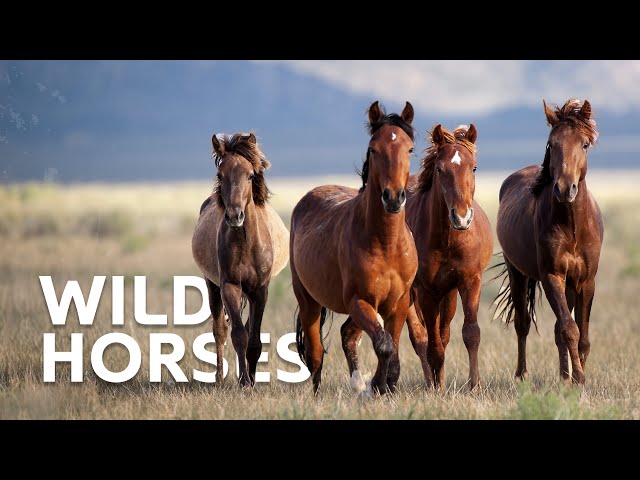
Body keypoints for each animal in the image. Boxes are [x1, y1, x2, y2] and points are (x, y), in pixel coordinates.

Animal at [192, 132, 290, 387]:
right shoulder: (230, 286)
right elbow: (238, 336)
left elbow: (253, 339)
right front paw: (244, 381)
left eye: (250, 175)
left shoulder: (260, 290)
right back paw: (219, 378)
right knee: (220, 330)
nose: (235, 216)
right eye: (220, 174)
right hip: (212, 285)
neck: (246, 243)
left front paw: (251, 379)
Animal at [290, 101, 419, 394]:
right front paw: (377, 386)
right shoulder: (360, 301)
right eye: (374, 149)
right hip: (309, 302)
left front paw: (384, 386)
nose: (393, 198)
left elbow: (392, 348)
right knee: (316, 354)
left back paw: (358, 384)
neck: (386, 244)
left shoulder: (398, 303)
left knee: (347, 335)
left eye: (409, 148)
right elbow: (384, 345)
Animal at [341, 124, 494, 391]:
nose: (461, 217)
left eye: (473, 167)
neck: (447, 240)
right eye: (440, 169)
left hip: (446, 294)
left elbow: (470, 333)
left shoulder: (469, 281)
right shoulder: (426, 291)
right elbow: (432, 345)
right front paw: (436, 388)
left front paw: (474, 385)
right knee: (419, 338)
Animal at [493, 98, 604, 385]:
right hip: (517, 272)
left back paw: (563, 376)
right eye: (551, 144)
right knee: (522, 324)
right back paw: (522, 375)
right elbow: (569, 329)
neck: (572, 226)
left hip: (569, 284)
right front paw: (579, 378)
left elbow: (582, 335)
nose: (565, 189)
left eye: (584, 144)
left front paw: (576, 376)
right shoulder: (552, 276)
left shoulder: (586, 281)